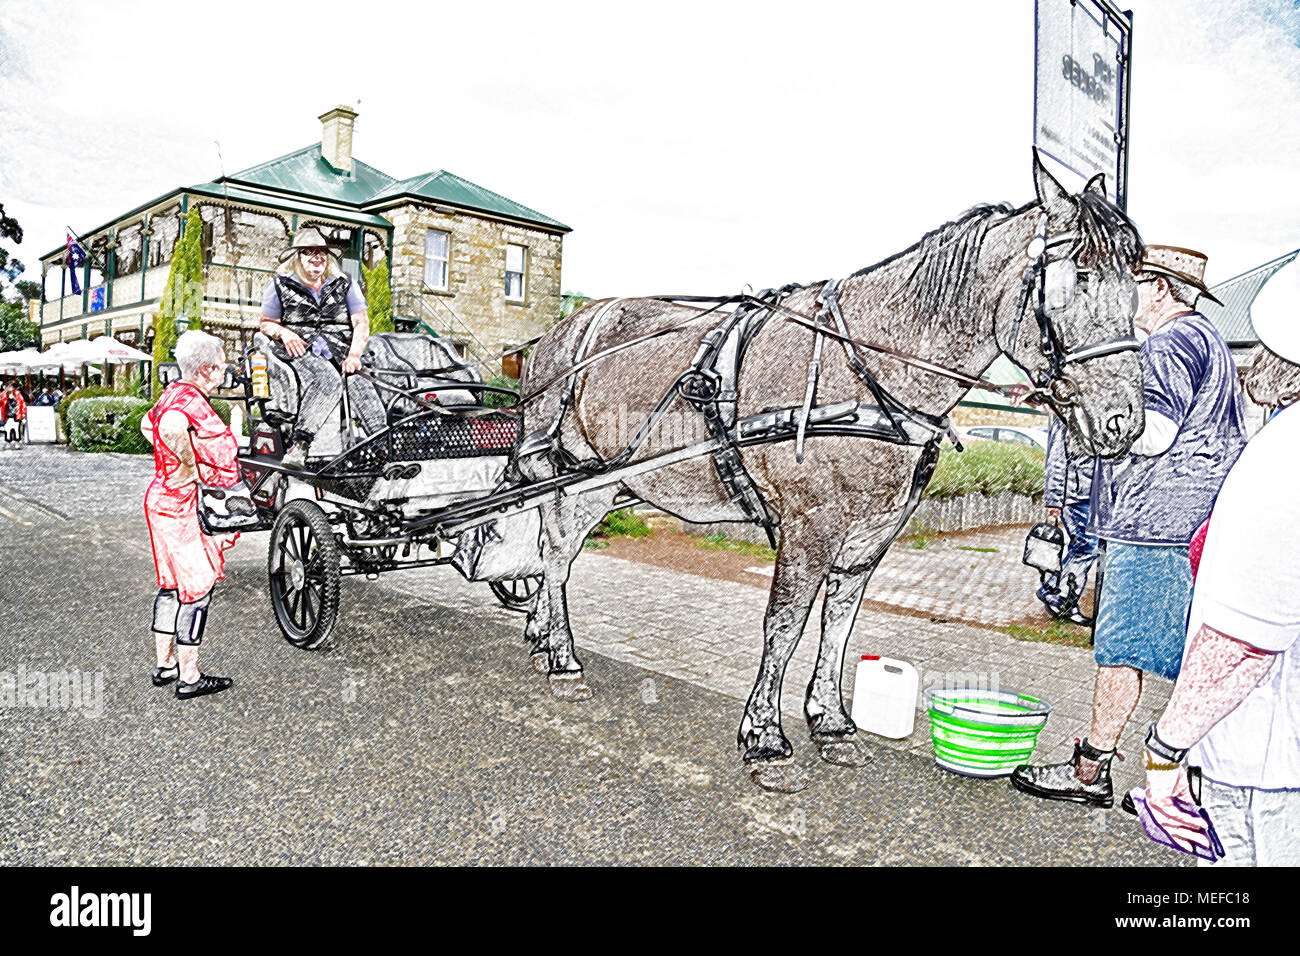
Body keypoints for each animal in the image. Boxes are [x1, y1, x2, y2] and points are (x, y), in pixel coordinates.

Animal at [512, 157, 1144, 790]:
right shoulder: (809, 525)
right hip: (579, 477)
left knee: (550, 552)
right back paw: (563, 659)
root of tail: (561, 331)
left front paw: (832, 722)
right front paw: (765, 739)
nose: (1124, 421)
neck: (865, 375)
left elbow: (838, 624)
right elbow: (786, 623)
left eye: (1134, 284)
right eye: (1073, 280)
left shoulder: (871, 534)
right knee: (558, 555)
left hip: (598, 478)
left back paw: (542, 636)